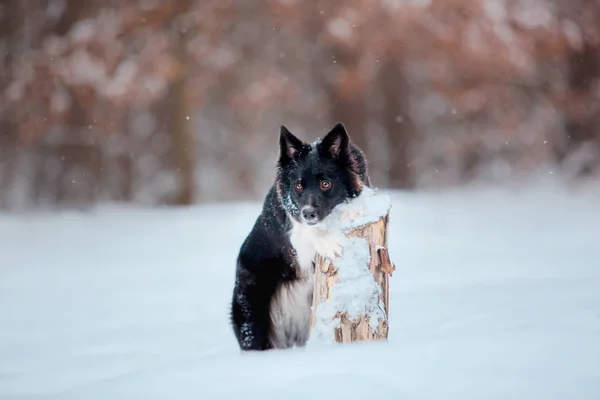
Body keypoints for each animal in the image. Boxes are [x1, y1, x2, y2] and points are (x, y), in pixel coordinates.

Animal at [230, 122, 370, 350]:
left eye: (325, 184)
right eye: (298, 186)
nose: (308, 213)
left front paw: (351, 211)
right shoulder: (294, 242)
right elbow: (306, 230)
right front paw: (328, 241)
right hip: (252, 312)